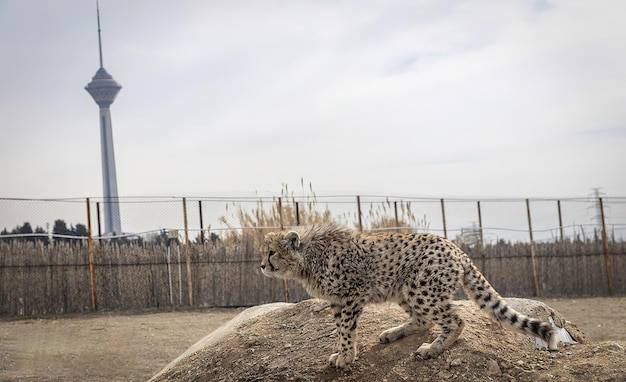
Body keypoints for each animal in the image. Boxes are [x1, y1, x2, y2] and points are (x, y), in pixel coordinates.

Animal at [258, 225, 556, 368]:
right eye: (263, 252)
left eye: (271, 252)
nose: (261, 266)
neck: (308, 257)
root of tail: (457, 249)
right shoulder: (338, 301)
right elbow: (340, 328)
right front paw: (343, 353)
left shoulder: (353, 294)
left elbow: (346, 329)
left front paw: (345, 356)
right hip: (404, 289)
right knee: (425, 320)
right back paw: (393, 333)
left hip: (421, 287)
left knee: (455, 320)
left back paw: (432, 349)